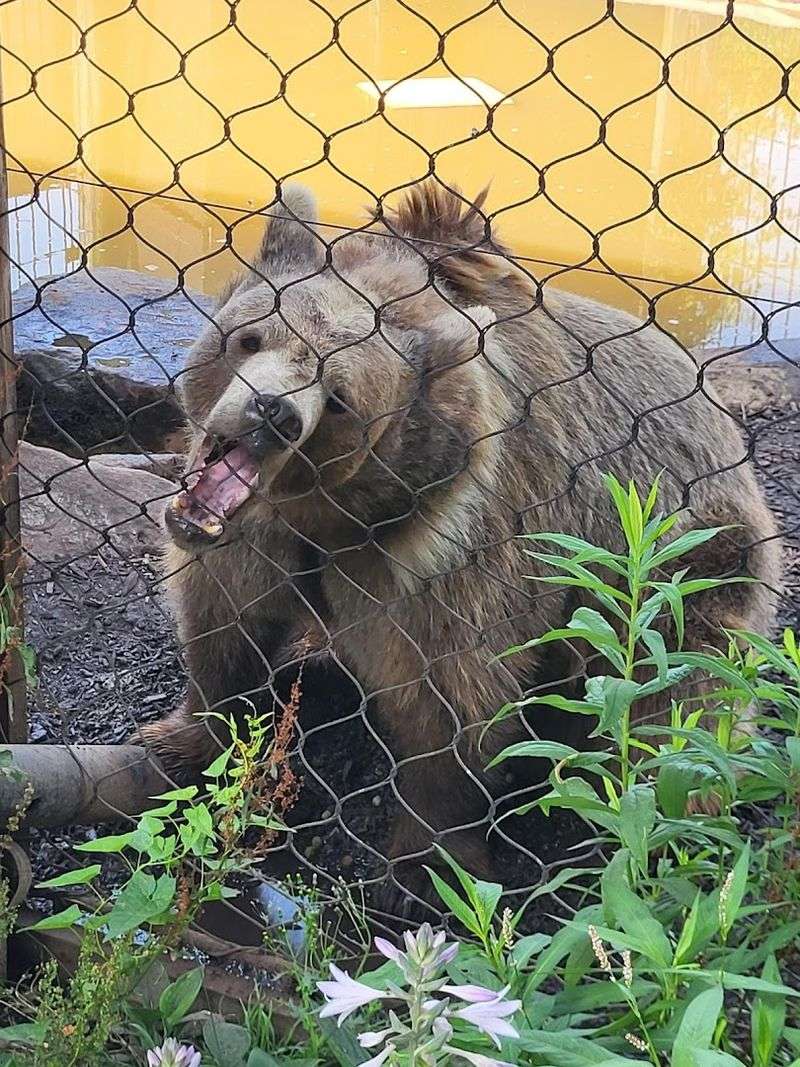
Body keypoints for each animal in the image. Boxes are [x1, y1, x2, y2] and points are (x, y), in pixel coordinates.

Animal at [138, 180, 781, 905]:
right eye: (252, 336)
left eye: (340, 396)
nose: (272, 412)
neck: (334, 515)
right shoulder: (256, 539)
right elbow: (223, 625)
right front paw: (183, 738)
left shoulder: (452, 546)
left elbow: (452, 699)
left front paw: (424, 864)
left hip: (693, 560)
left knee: (678, 689)